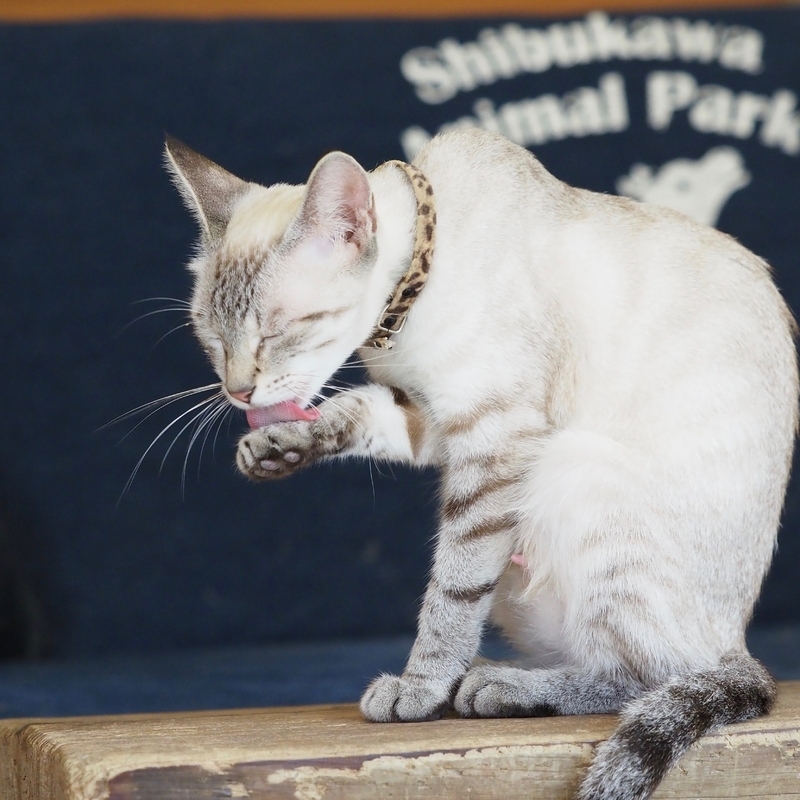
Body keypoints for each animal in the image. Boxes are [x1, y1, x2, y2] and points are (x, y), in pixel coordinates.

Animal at [166, 130, 796, 800]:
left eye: (275, 332)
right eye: (210, 336)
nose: (236, 394)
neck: (400, 321)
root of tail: (737, 642)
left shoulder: (495, 438)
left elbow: (452, 593)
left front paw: (419, 690)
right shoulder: (427, 417)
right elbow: (350, 409)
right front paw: (277, 445)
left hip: (577, 472)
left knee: (654, 675)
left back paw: (500, 686)